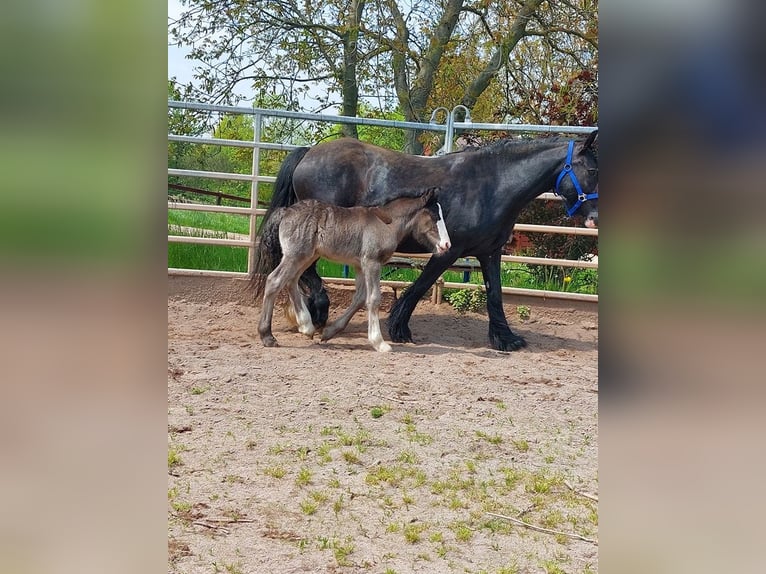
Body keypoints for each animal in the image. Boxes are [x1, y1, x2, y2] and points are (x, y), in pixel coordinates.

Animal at [258, 188, 450, 352]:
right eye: (434, 216)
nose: (446, 245)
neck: (386, 224)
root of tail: (286, 211)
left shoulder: (359, 265)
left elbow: (359, 298)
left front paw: (329, 332)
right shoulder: (372, 262)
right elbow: (373, 299)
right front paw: (379, 343)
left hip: (306, 257)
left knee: (291, 280)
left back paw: (306, 327)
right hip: (296, 255)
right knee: (275, 281)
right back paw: (267, 336)